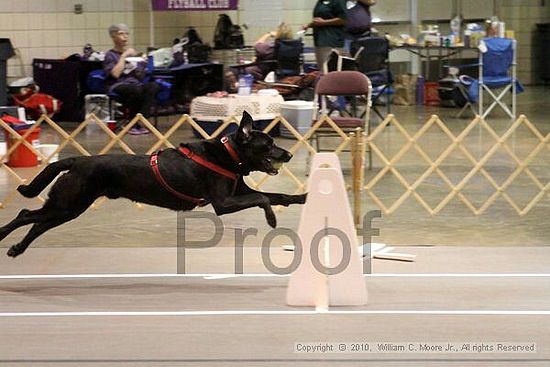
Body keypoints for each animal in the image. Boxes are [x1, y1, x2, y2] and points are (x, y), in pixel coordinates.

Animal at [1, 110, 306, 258]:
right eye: (268, 145)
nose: (289, 155)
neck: (230, 155)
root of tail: (77, 160)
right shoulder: (224, 203)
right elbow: (264, 199)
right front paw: (272, 221)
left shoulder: (240, 193)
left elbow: (277, 195)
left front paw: (304, 198)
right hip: (68, 203)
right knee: (25, 215)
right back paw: (4, 235)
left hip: (69, 207)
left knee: (38, 224)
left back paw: (17, 249)